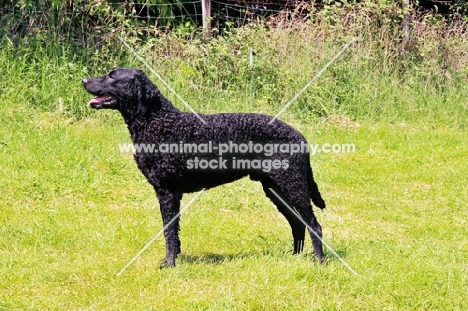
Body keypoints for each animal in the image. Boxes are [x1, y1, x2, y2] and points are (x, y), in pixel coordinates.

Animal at [82, 68, 326, 268]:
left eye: (112, 76)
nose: (83, 80)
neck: (157, 120)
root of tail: (300, 136)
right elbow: (172, 231)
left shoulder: (167, 191)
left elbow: (169, 231)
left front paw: (169, 263)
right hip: (275, 189)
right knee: (298, 223)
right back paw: (293, 258)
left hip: (294, 186)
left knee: (314, 225)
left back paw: (318, 261)